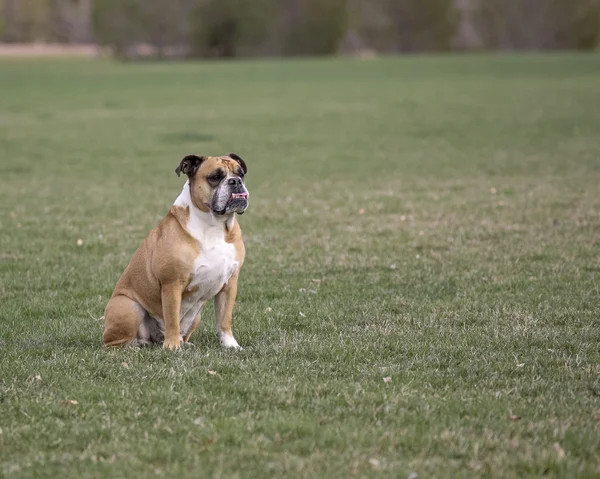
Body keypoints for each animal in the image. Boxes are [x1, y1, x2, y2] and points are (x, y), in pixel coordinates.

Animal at [103, 156, 248, 350]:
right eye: (215, 177)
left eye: (241, 174)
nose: (236, 182)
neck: (214, 226)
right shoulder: (172, 284)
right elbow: (172, 319)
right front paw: (172, 347)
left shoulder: (229, 285)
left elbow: (225, 319)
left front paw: (230, 345)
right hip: (129, 307)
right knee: (116, 342)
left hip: (197, 316)